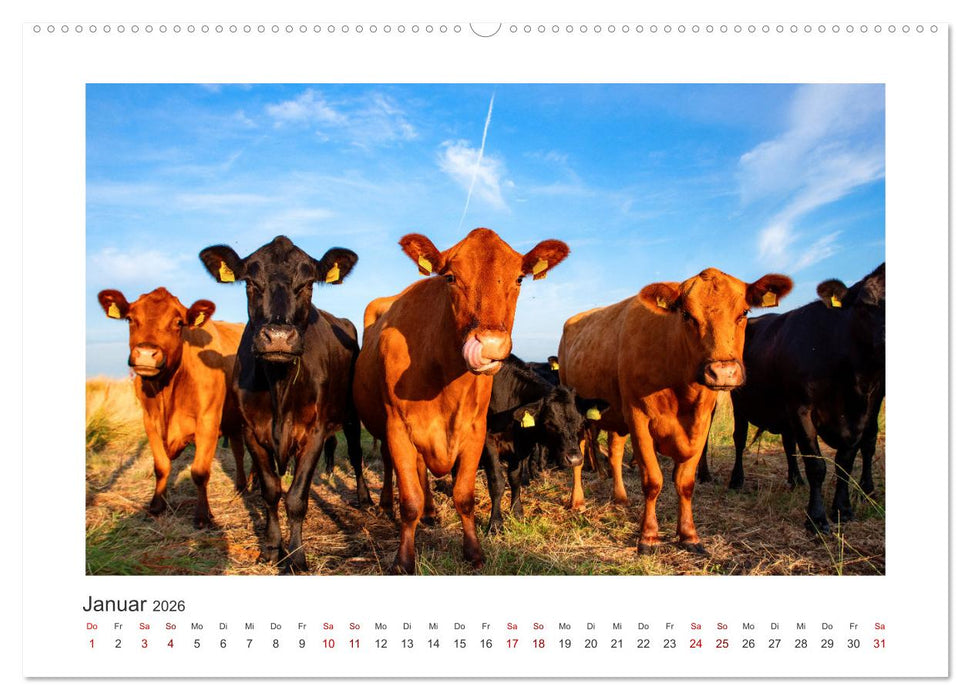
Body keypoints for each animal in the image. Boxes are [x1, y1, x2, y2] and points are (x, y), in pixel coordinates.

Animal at [96, 287, 246, 528]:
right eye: (130, 319)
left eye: (178, 322)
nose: (146, 353)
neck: (166, 390)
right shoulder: (149, 422)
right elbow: (161, 466)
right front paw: (157, 505)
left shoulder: (208, 420)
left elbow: (200, 472)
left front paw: (203, 516)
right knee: (238, 450)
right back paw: (241, 485)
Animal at [199, 235, 372, 572]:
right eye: (251, 283)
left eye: (307, 284)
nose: (278, 336)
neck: (279, 385)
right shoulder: (252, 432)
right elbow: (270, 492)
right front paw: (270, 548)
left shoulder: (314, 432)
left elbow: (296, 498)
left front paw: (296, 556)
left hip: (351, 414)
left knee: (356, 456)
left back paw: (366, 499)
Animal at [353, 227, 569, 574]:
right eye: (451, 277)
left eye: (520, 278)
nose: (491, 345)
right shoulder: (398, 429)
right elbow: (409, 500)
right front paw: (404, 560)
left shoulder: (476, 432)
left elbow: (465, 495)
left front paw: (474, 552)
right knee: (389, 466)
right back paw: (386, 504)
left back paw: (431, 512)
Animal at [558, 268, 793, 553]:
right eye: (687, 315)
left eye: (744, 313)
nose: (723, 371)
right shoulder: (639, 419)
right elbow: (652, 480)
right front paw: (648, 536)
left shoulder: (701, 423)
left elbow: (685, 482)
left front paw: (689, 535)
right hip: (579, 415)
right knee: (579, 458)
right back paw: (577, 501)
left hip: (616, 416)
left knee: (614, 454)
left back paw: (620, 497)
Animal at [727, 263, 885, 534]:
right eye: (865, 305)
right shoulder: (802, 410)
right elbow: (817, 466)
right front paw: (817, 517)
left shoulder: (864, 413)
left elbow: (845, 462)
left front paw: (843, 508)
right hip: (741, 404)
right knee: (740, 440)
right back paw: (737, 480)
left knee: (789, 444)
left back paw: (796, 479)